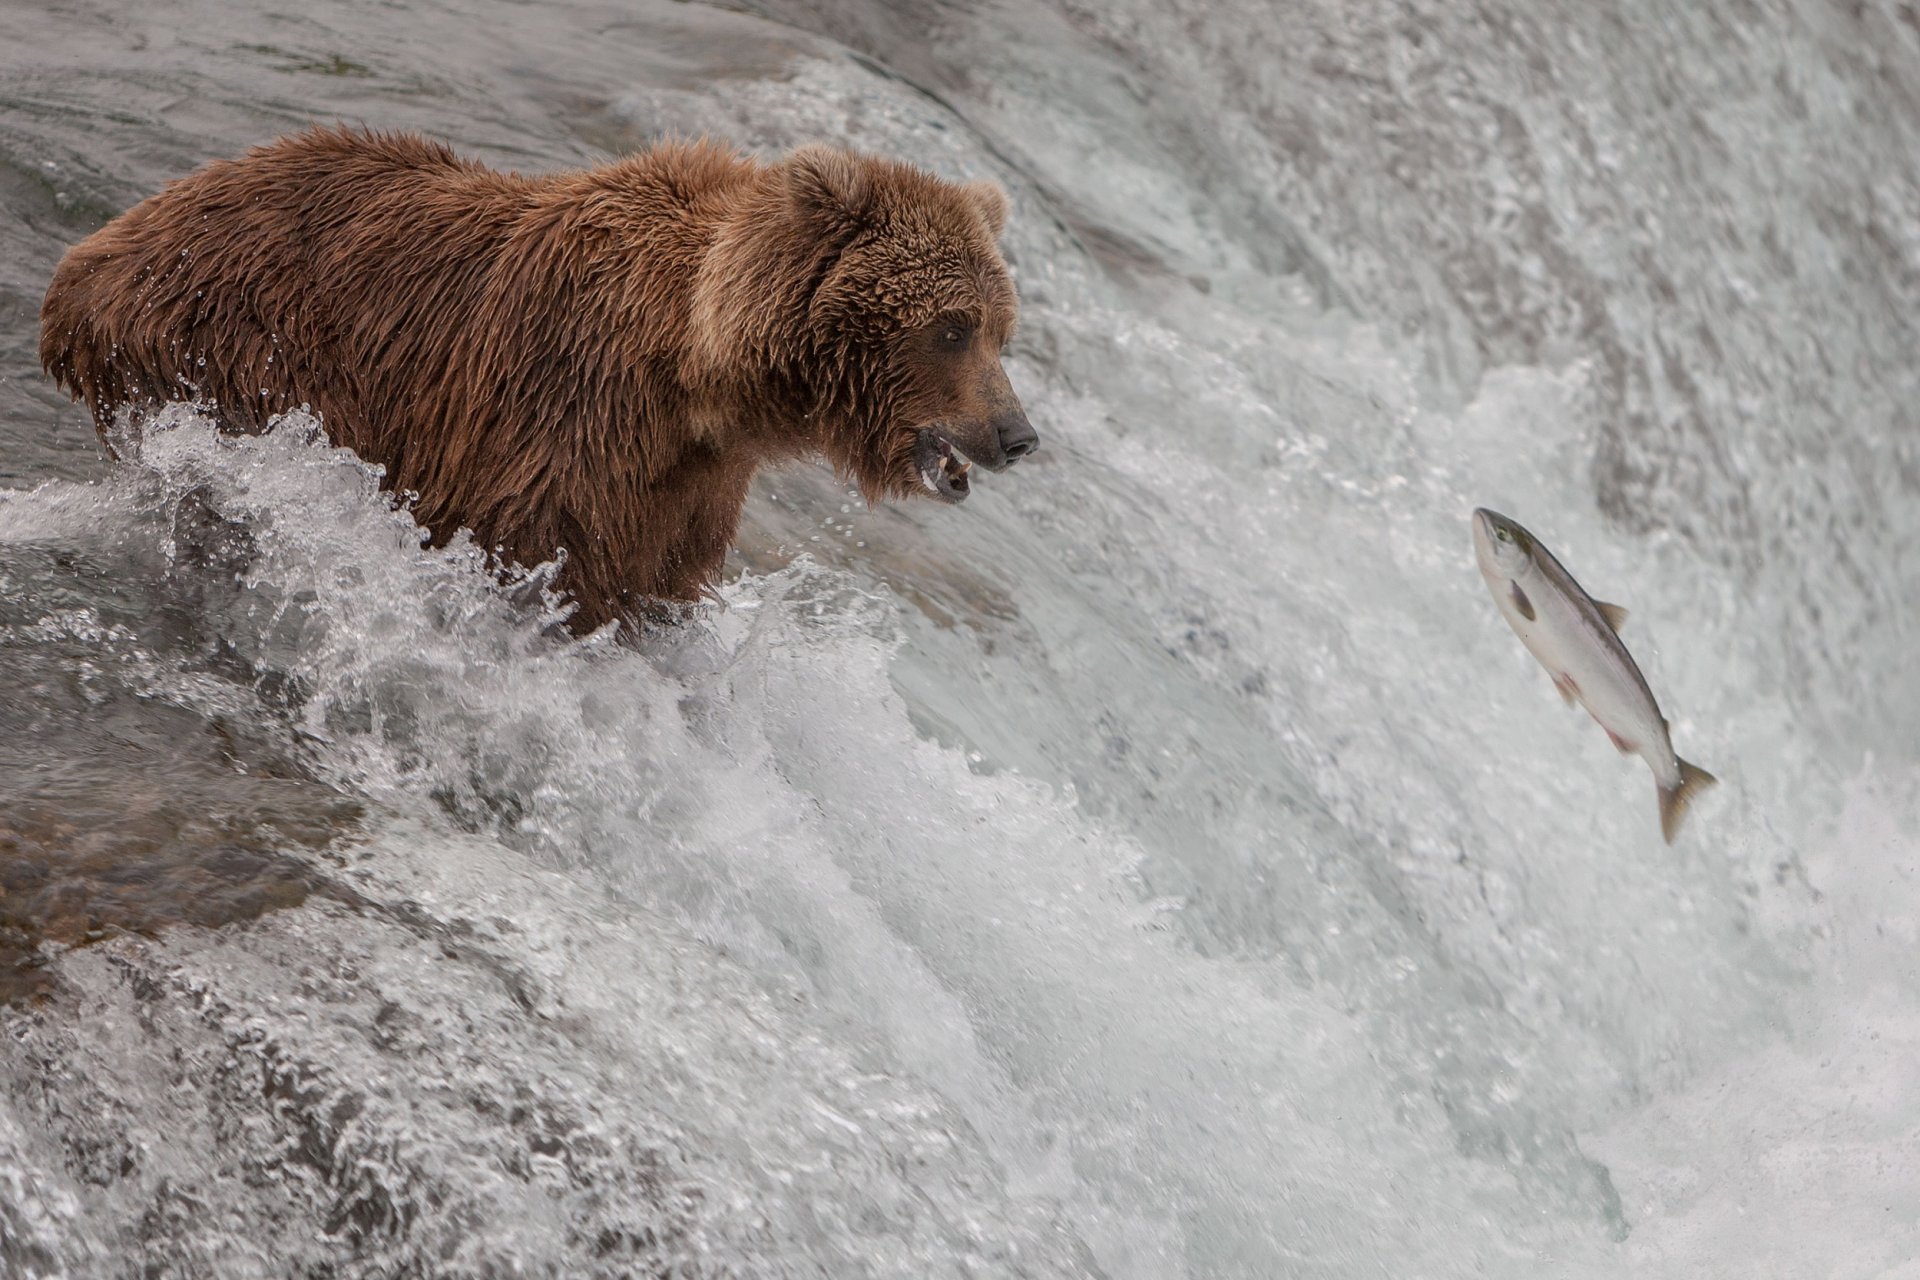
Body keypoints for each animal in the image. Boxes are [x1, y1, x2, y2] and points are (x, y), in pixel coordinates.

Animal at [38, 127, 1038, 632]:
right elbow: (538, 555)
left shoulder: (687, 490)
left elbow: (653, 585)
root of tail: (88, 260)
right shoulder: (562, 417)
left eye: (1002, 328)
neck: (698, 378)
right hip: (234, 354)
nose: (1018, 435)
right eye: (950, 328)